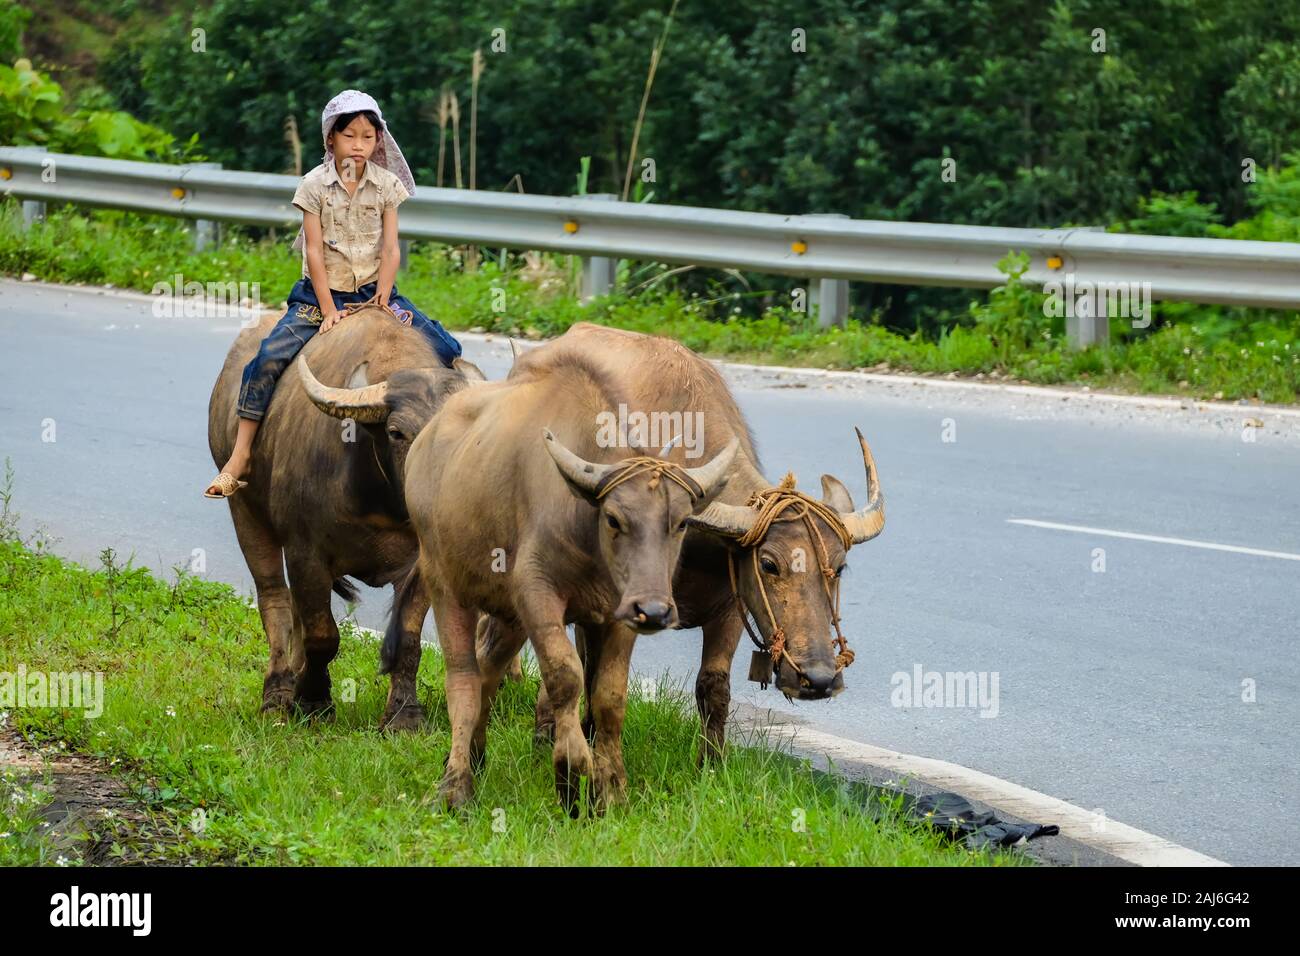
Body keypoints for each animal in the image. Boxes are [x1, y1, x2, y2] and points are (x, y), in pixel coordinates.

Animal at [208, 306, 483, 723]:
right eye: (397, 432)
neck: (379, 499)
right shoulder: (305, 553)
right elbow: (323, 634)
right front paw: (313, 700)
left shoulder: (424, 562)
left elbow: (408, 638)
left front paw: (404, 715)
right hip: (245, 512)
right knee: (274, 599)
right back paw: (277, 693)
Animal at [382, 348, 743, 811]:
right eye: (614, 518)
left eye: (681, 522)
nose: (656, 611)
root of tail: (425, 442)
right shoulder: (537, 595)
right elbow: (565, 676)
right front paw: (571, 774)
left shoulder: (617, 617)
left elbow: (609, 696)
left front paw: (611, 789)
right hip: (445, 585)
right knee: (463, 678)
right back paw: (456, 785)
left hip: (507, 616)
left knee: (488, 670)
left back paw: (474, 756)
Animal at [522, 325, 889, 764]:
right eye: (769, 564)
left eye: (840, 566)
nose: (818, 679)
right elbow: (598, 676)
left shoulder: (730, 606)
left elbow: (713, 685)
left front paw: (711, 763)